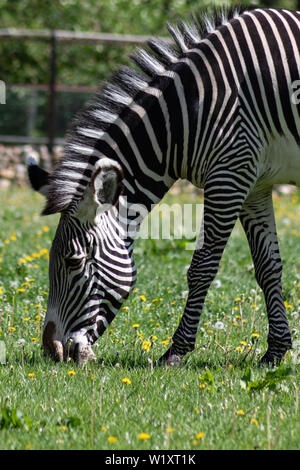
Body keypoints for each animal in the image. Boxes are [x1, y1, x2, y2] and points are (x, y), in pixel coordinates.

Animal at [27, 5, 298, 370]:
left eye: (72, 261)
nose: (51, 351)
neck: (187, 115)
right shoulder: (255, 184)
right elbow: (268, 268)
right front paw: (276, 351)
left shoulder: (229, 175)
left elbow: (202, 267)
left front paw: (176, 351)